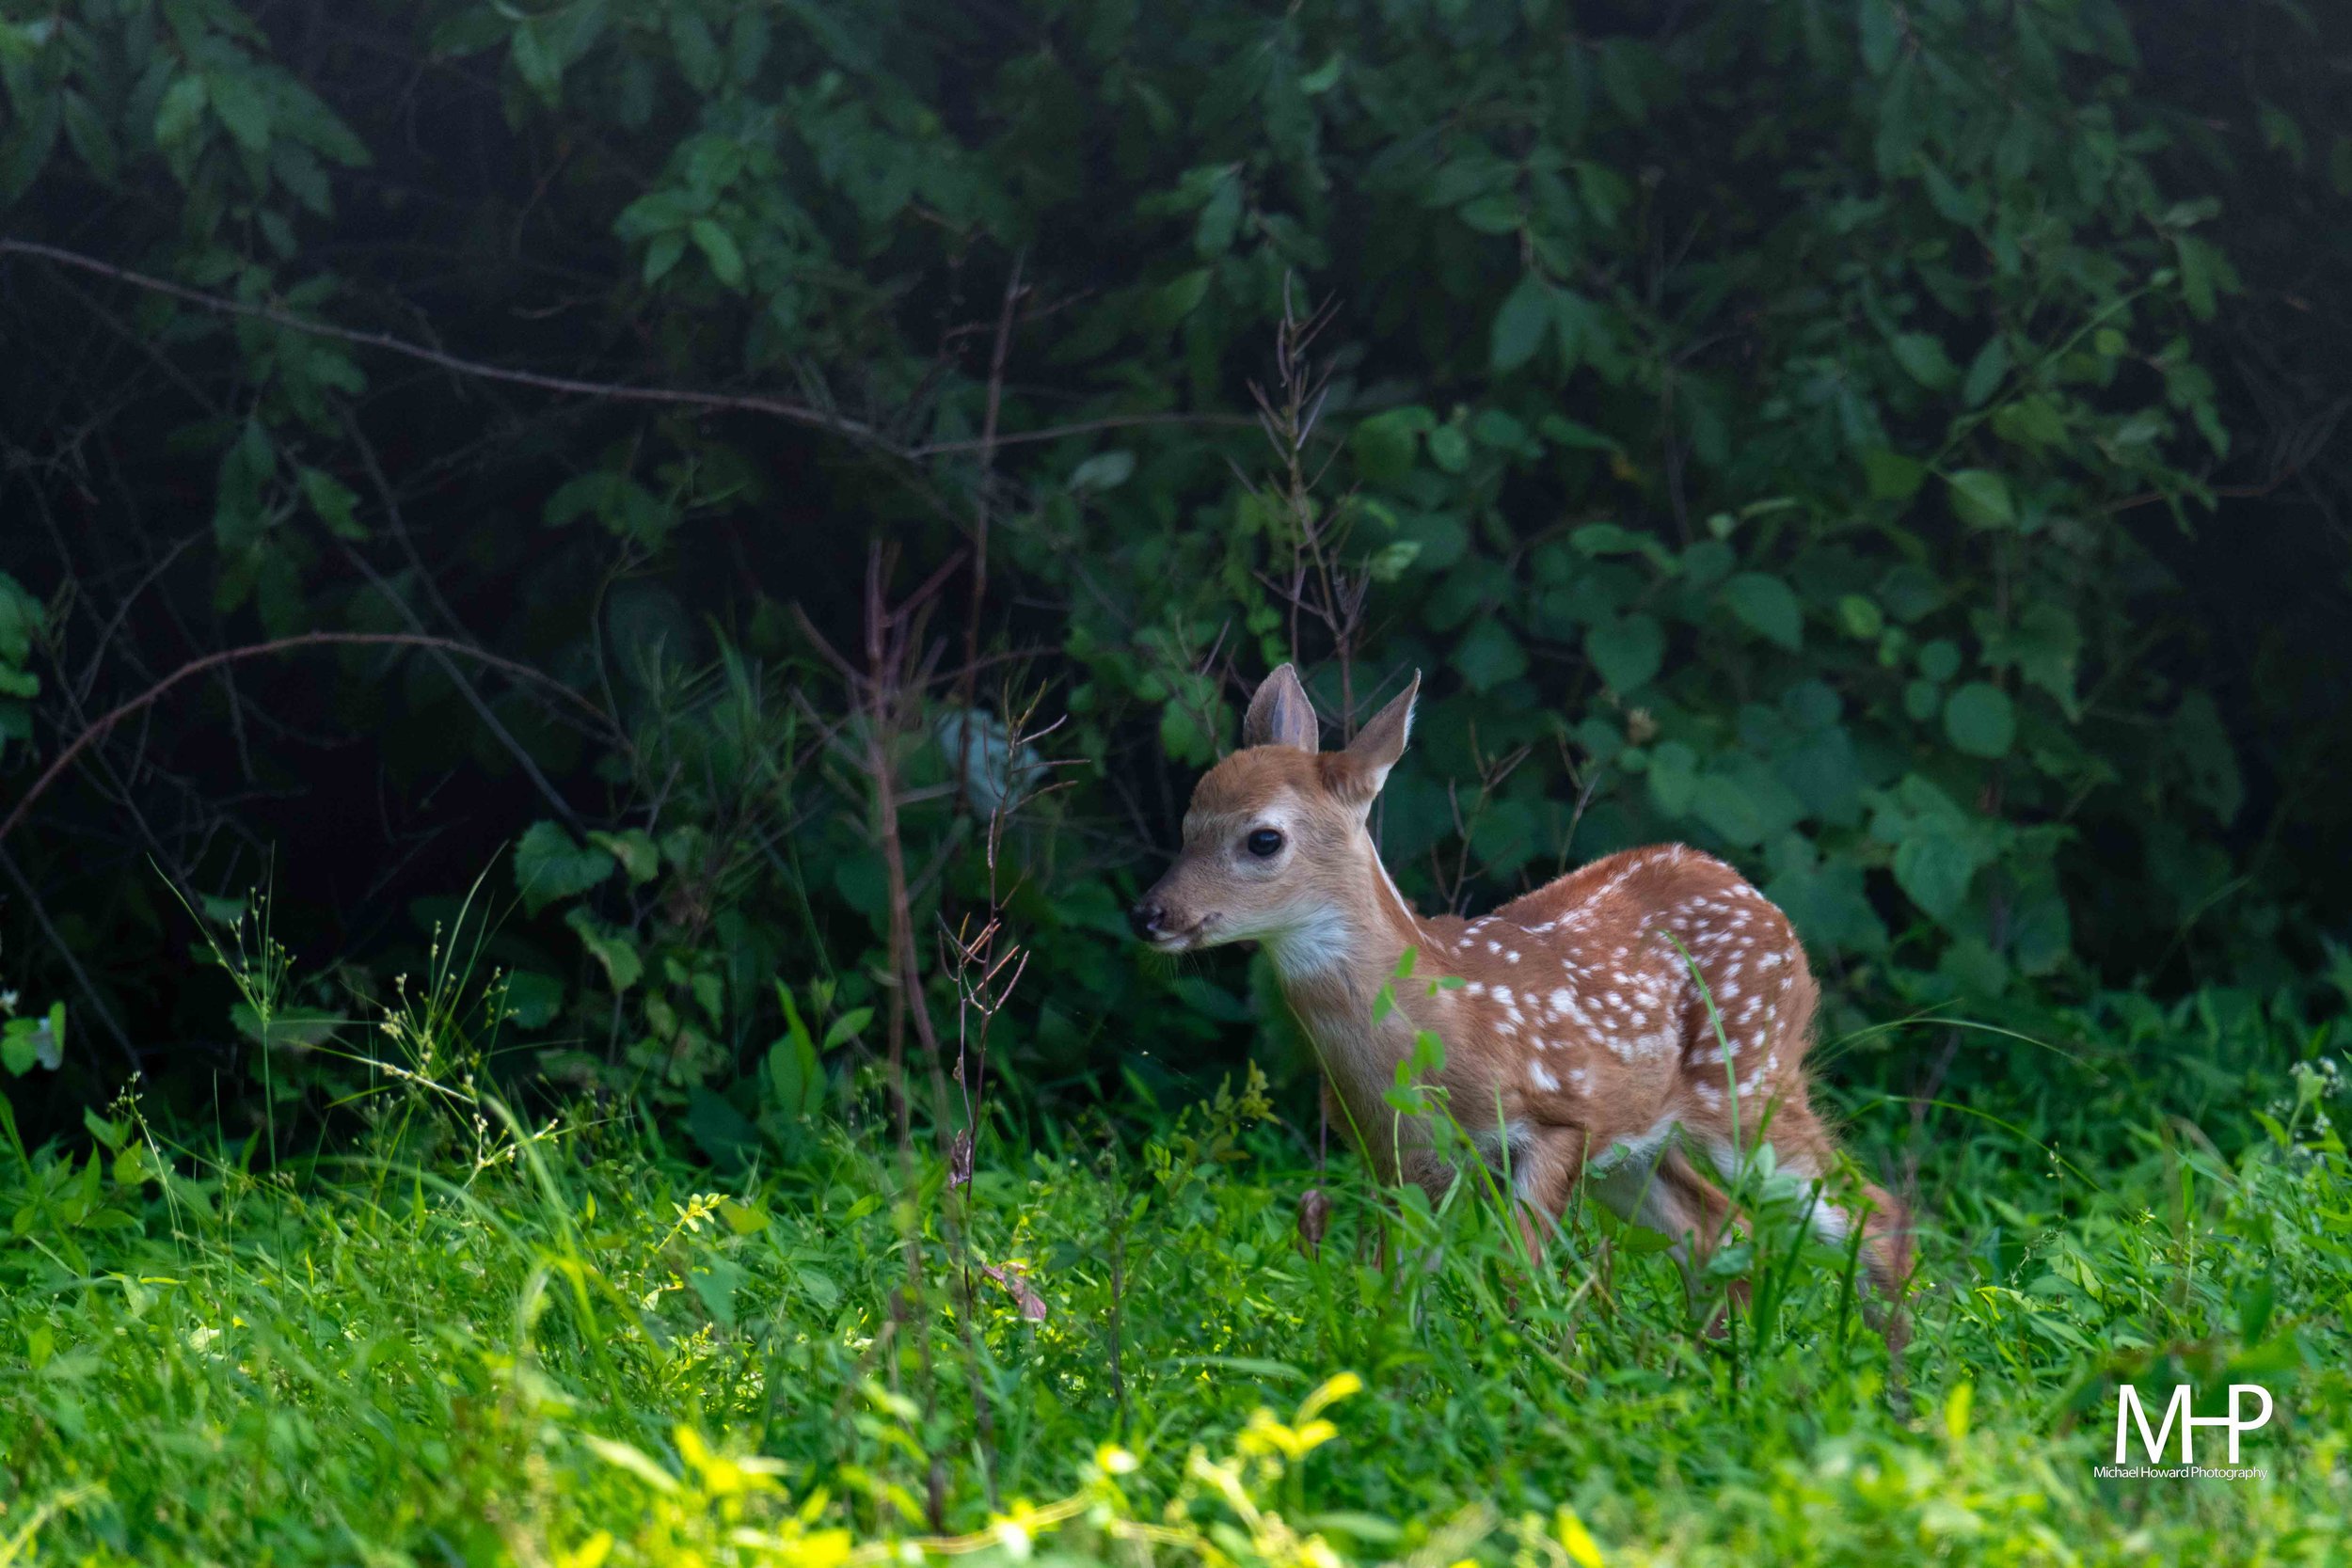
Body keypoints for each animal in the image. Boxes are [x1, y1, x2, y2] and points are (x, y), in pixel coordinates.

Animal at [1129, 664, 1910, 1349]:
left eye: (1264, 837)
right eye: (1188, 824)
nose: (1149, 913)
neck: (1434, 1030)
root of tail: (1771, 911)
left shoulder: (1556, 1118)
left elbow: (1520, 1275)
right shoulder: (1397, 1157)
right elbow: (1397, 1293)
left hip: (1750, 1080)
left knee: (1877, 1213)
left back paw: (1891, 1379)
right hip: (1638, 1143)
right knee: (1721, 1229)